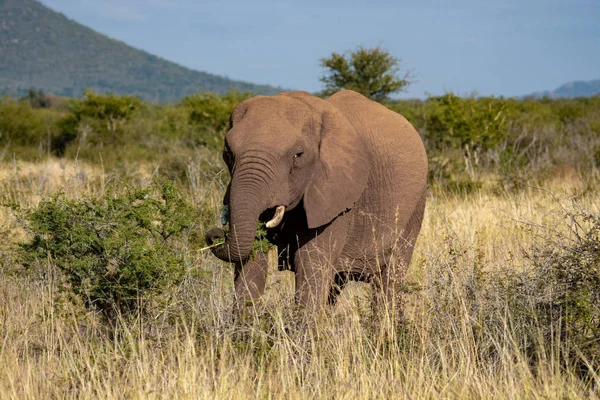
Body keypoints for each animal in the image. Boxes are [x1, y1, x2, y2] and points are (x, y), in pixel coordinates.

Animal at [206, 90, 426, 312]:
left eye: (298, 155)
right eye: (227, 153)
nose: (215, 235)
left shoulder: (338, 199)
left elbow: (310, 262)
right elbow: (251, 260)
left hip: (416, 208)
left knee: (390, 278)